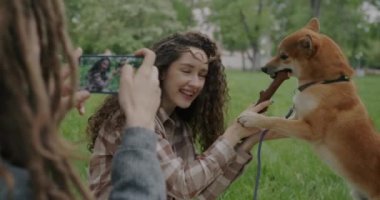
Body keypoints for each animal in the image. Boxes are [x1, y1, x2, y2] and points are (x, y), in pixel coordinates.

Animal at [238, 18, 380, 199]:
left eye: (283, 56)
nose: (263, 68)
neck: (323, 83)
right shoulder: (298, 120)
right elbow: (268, 130)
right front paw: (245, 140)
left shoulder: (310, 130)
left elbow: (275, 120)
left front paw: (251, 118)